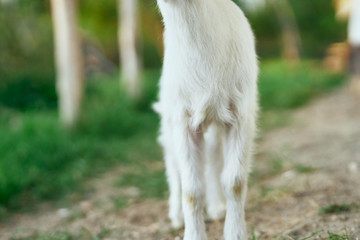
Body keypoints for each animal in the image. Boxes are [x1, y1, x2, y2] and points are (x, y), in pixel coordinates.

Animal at [155, 0, 258, 240]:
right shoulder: (182, 118)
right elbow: (191, 190)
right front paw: (193, 234)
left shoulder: (240, 114)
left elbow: (235, 182)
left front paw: (235, 233)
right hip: (168, 118)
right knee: (172, 163)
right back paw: (176, 216)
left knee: (212, 155)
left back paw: (217, 208)